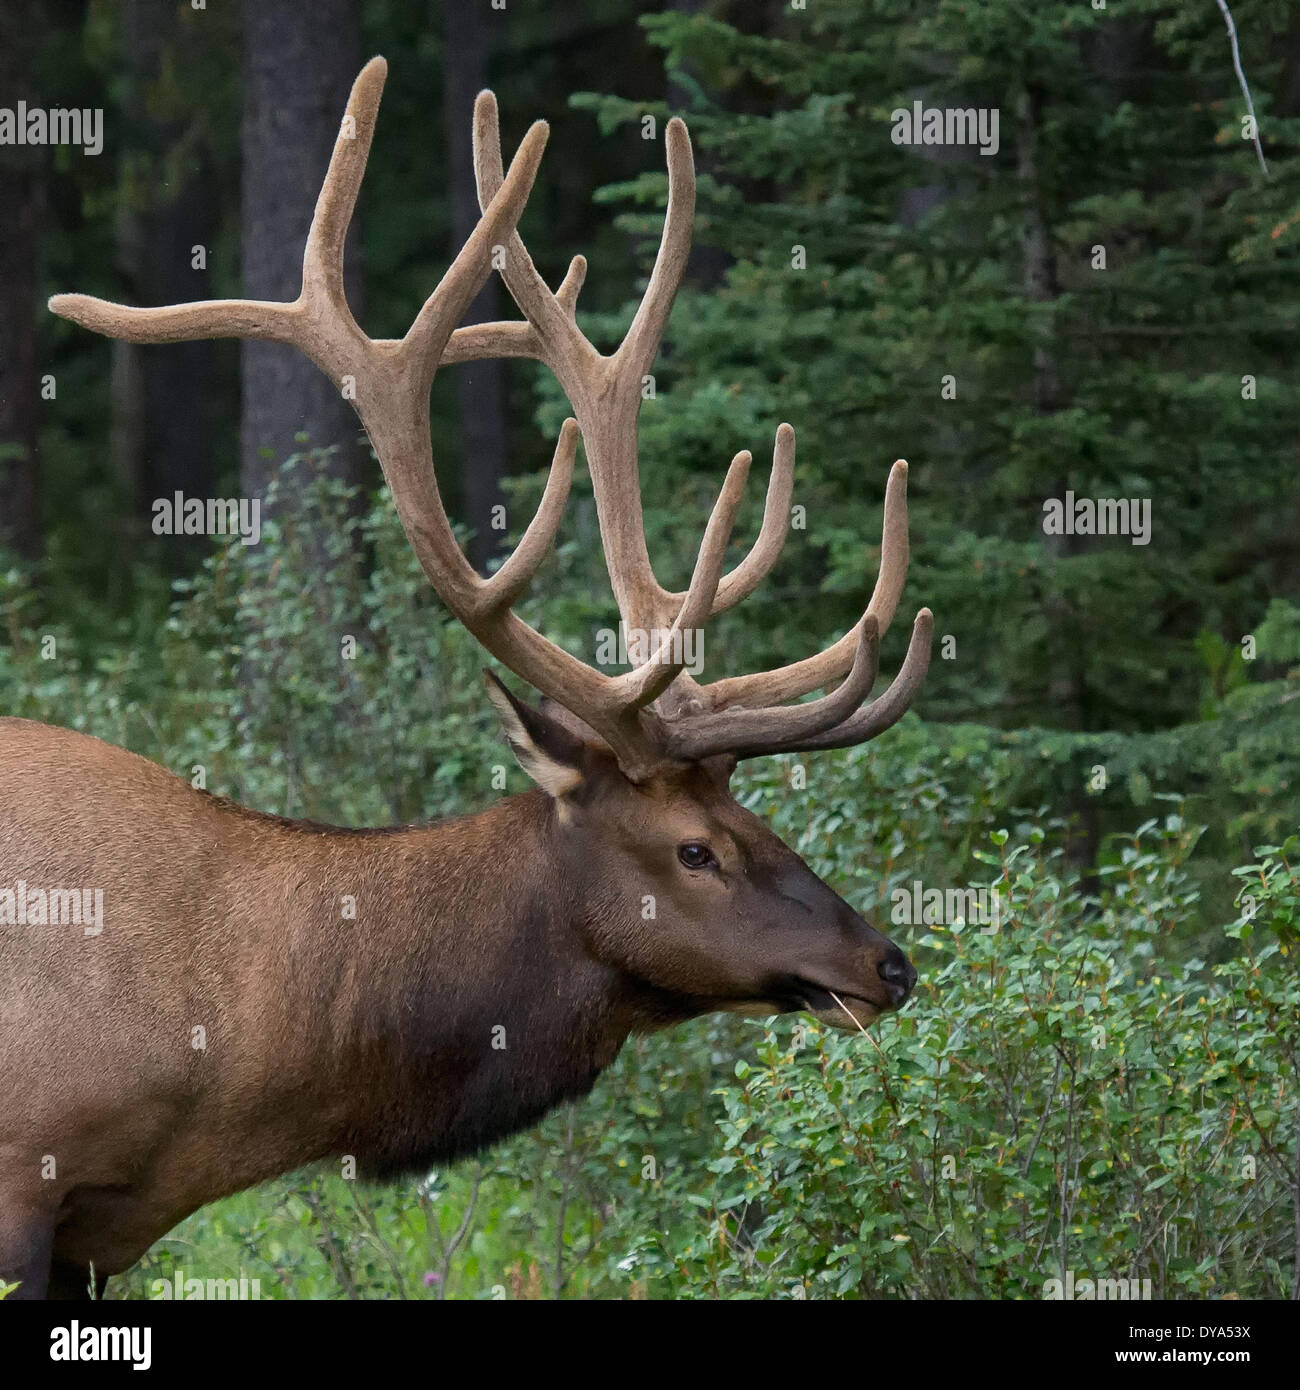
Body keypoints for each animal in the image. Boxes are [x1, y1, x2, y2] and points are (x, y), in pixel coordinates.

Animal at [2, 59, 934, 1295]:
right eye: (696, 848)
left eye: (757, 819)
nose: (887, 962)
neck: (230, 1066)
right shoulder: (23, 1167)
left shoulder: (98, 1234)